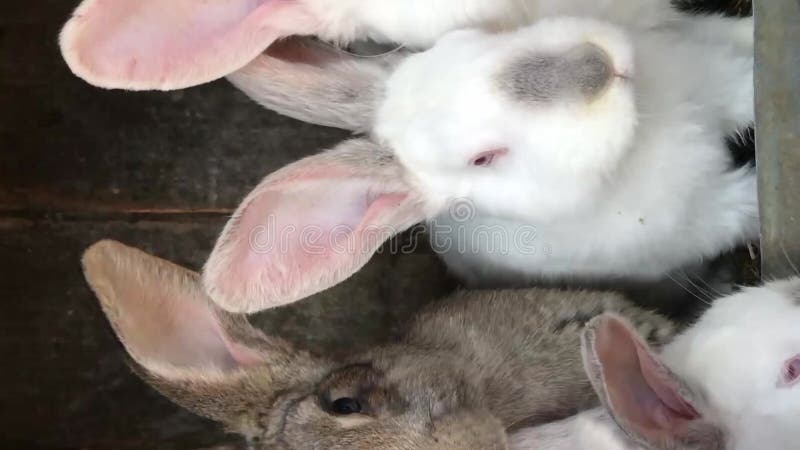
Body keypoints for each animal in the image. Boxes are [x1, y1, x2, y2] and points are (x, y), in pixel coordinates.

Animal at [195, 16, 756, 312]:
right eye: (482, 159)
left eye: (457, 41)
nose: (596, 66)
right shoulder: (702, 217)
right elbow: (741, 208)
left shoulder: (710, 68)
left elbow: (741, 72)